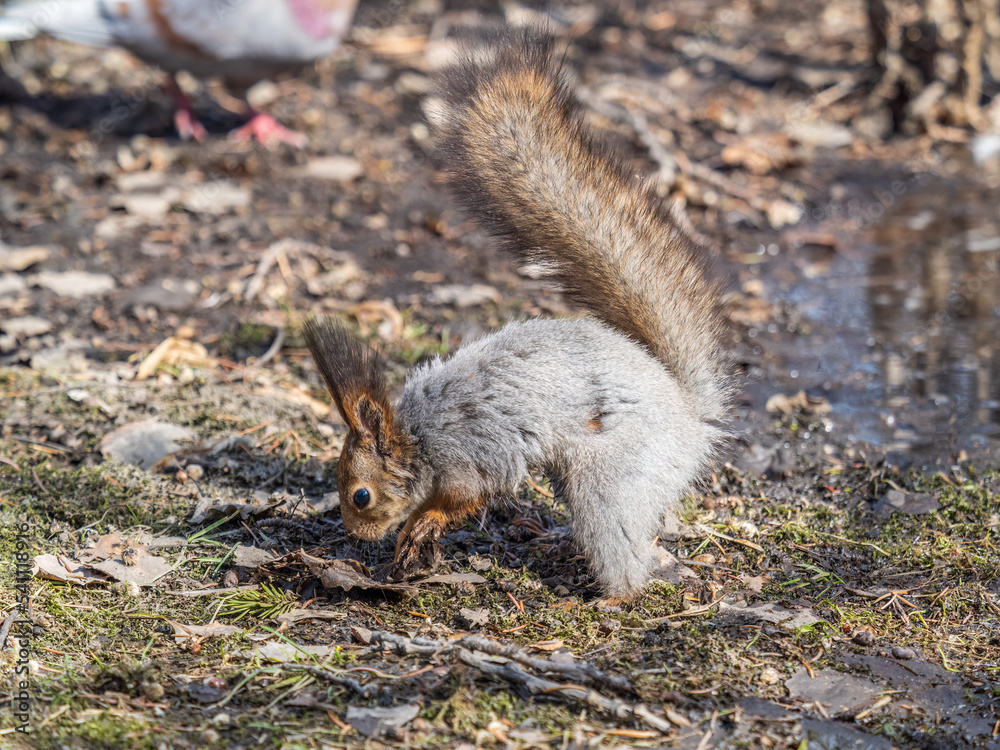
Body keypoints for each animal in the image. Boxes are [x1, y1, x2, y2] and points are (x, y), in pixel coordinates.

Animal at [303, 29, 730, 602]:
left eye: (361, 496)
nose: (356, 536)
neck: (417, 440)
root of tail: (689, 412)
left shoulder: (469, 460)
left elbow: (462, 501)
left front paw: (422, 524)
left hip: (610, 476)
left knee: (622, 546)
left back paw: (610, 596)